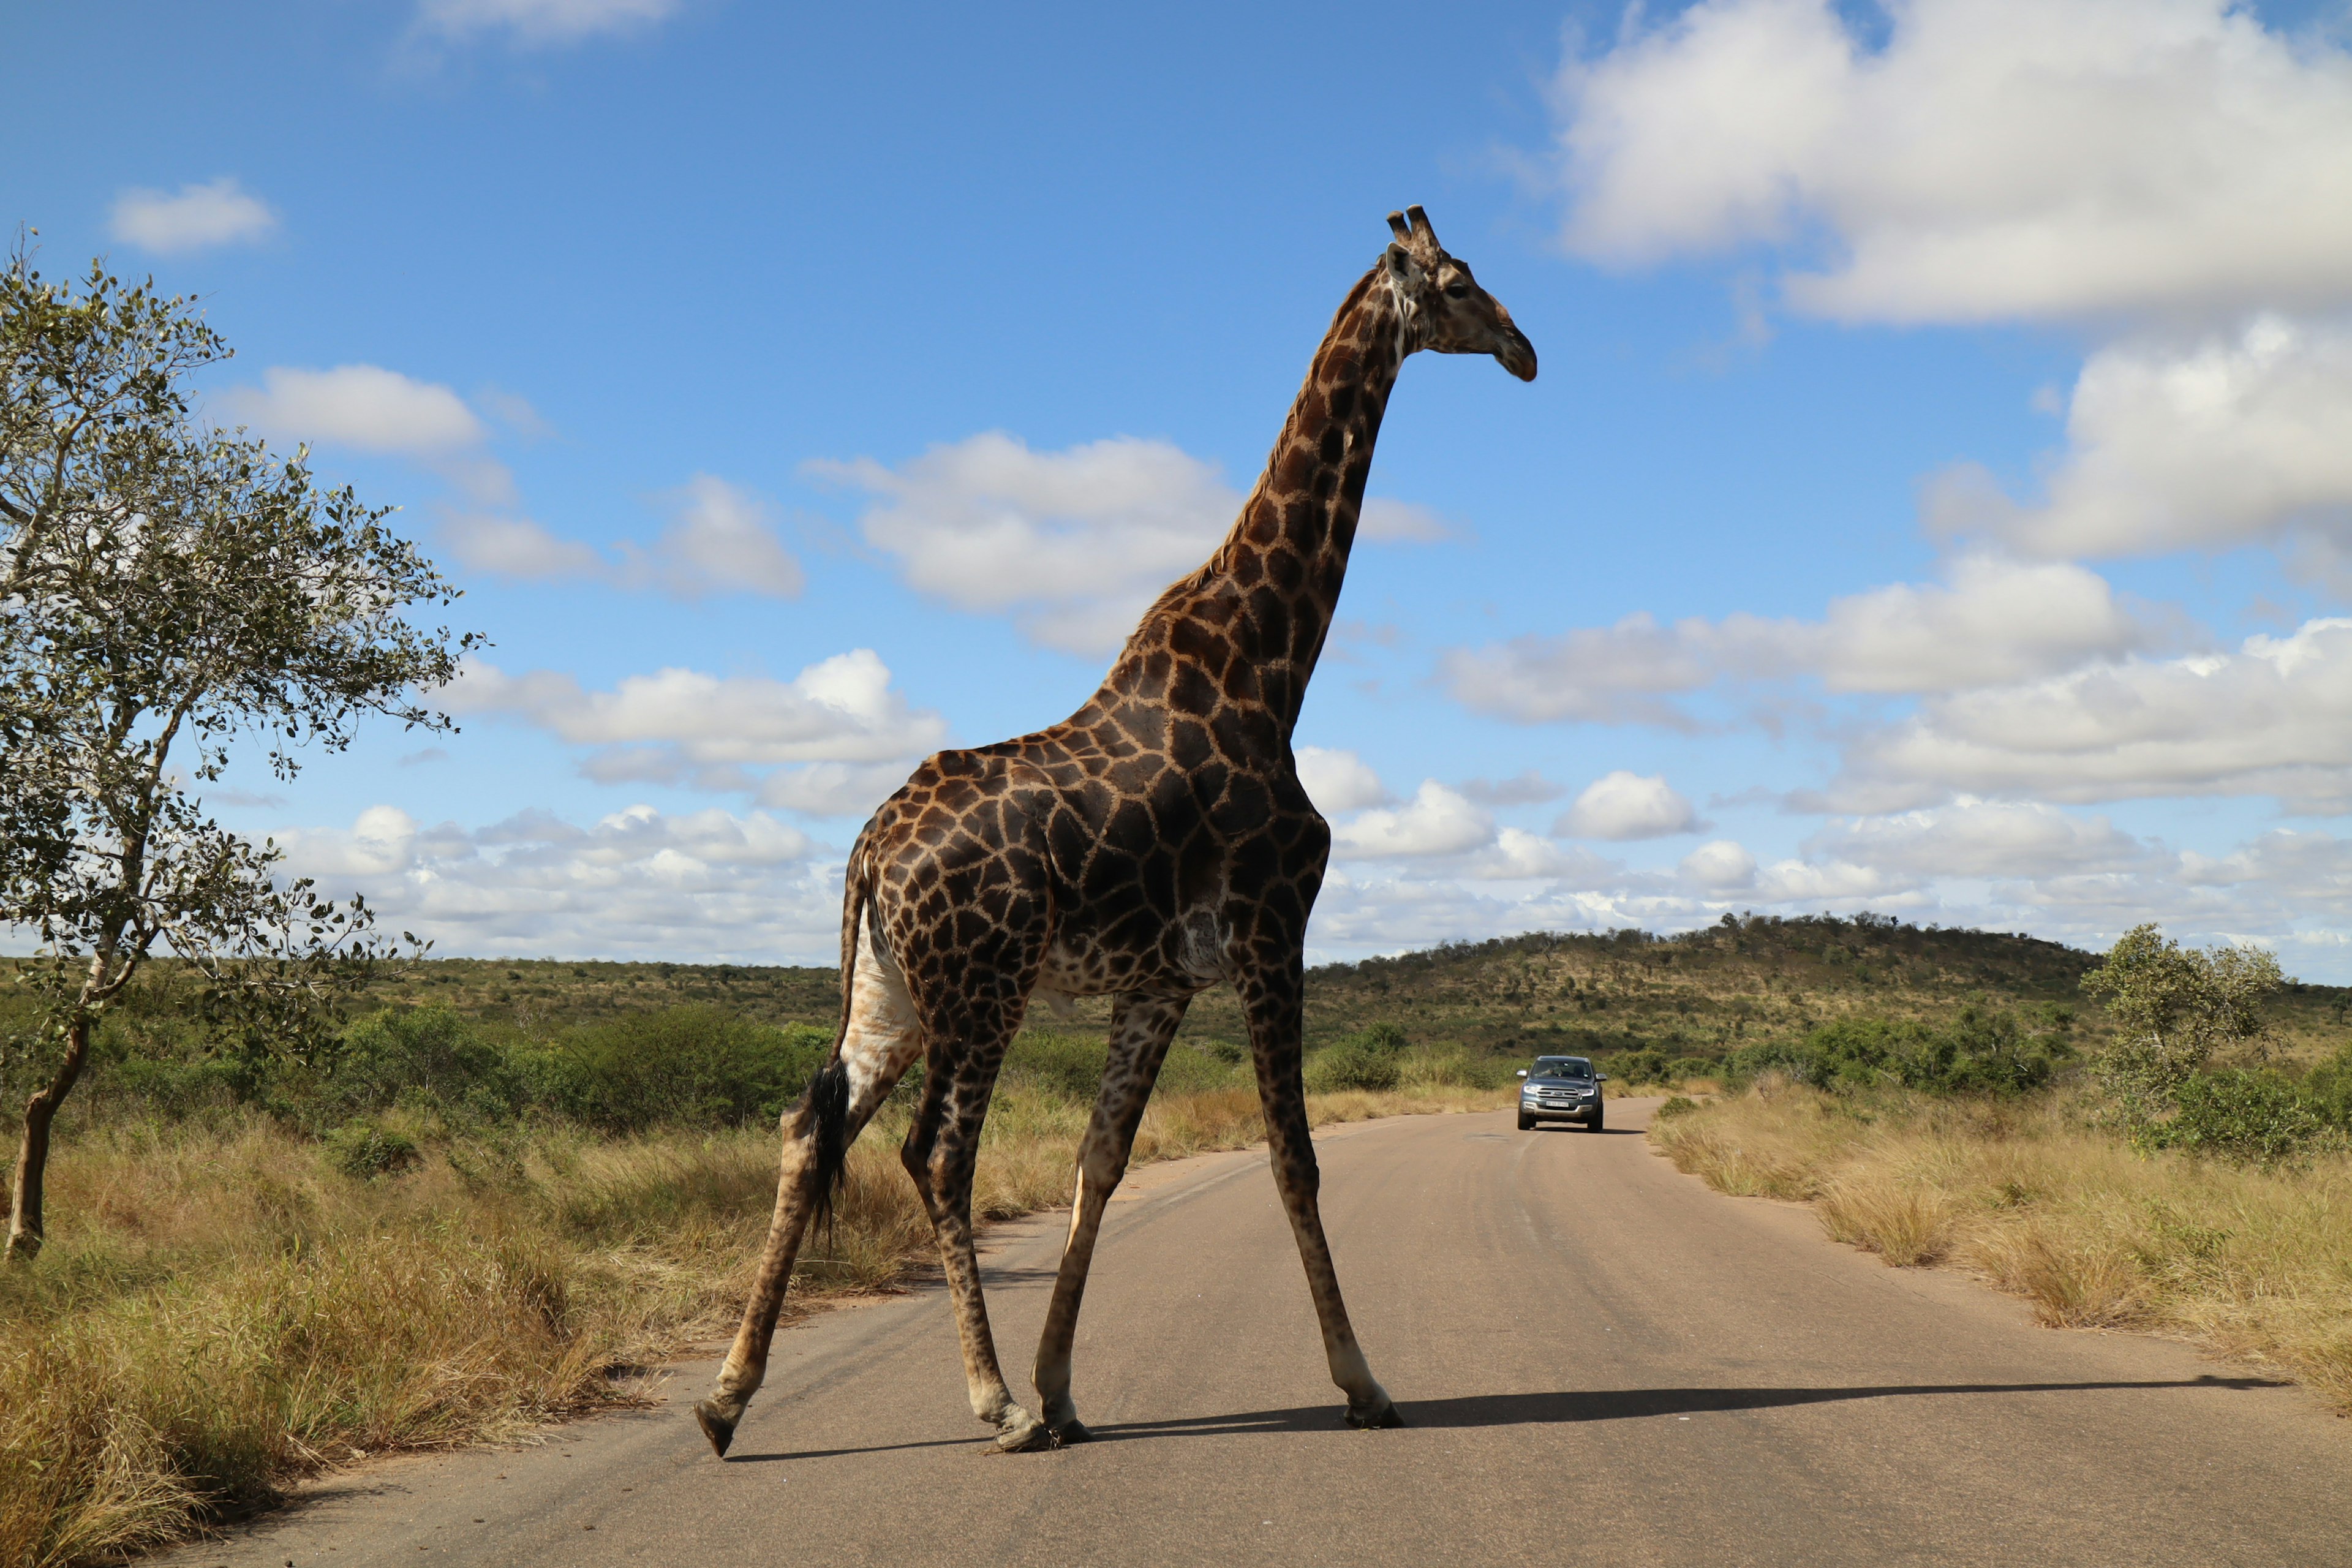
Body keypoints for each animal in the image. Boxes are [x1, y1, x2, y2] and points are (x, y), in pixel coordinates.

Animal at [691, 205, 1543, 1457]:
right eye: (1460, 282)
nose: (1527, 351)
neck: (1273, 666)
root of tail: (869, 852)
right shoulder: (1272, 932)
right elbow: (1295, 1160)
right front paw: (1363, 1383)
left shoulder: (1161, 981)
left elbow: (1102, 1162)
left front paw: (1065, 1390)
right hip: (983, 985)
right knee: (936, 1156)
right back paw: (989, 1403)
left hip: (891, 993)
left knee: (809, 1126)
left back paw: (726, 1399)